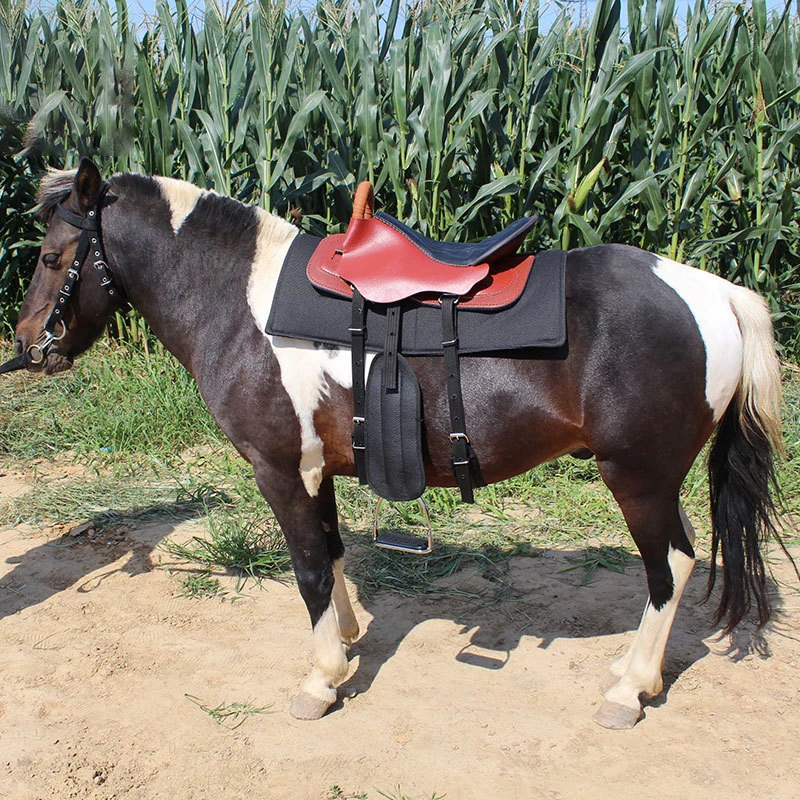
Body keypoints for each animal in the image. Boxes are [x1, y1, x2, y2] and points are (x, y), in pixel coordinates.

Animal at [3, 157, 785, 729]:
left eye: (52, 256)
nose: (27, 346)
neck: (242, 302)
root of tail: (717, 292)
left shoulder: (279, 470)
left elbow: (309, 571)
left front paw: (320, 682)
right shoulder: (316, 469)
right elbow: (331, 554)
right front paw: (348, 641)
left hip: (639, 479)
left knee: (670, 568)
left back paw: (629, 689)